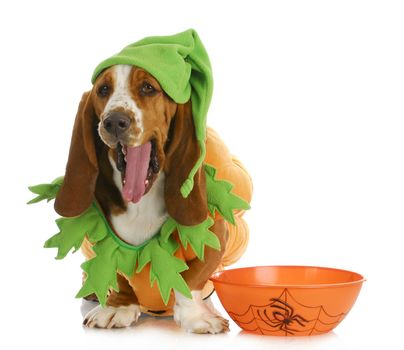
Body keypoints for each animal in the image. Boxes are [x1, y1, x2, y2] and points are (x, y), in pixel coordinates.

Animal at [52, 63, 249, 334]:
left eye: (148, 87)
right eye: (103, 89)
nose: (114, 122)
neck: (141, 202)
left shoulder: (212, 236)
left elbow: (192, 279)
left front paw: (196, 317)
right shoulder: (104, 240)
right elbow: (120, 274)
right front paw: (118, 307)